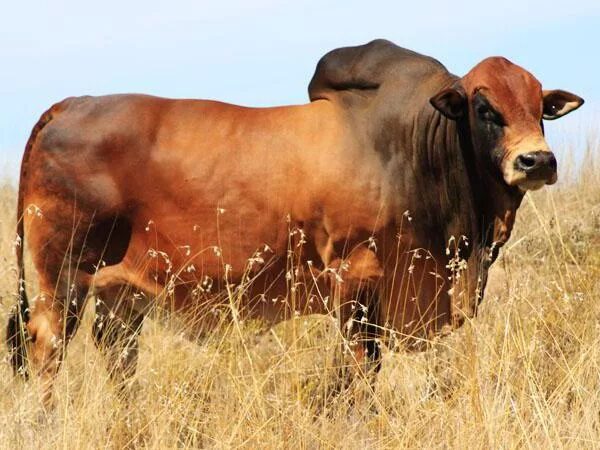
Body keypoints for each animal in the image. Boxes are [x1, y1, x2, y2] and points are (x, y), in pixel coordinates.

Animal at [7, 39, 584, 404]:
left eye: (540, 108)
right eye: (485, 109)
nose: (537, 161)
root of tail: (68, 105)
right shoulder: (357, 283)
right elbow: (357, 373)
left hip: (120, 295)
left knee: (118, 358)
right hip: (61, 280)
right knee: (47, 351)